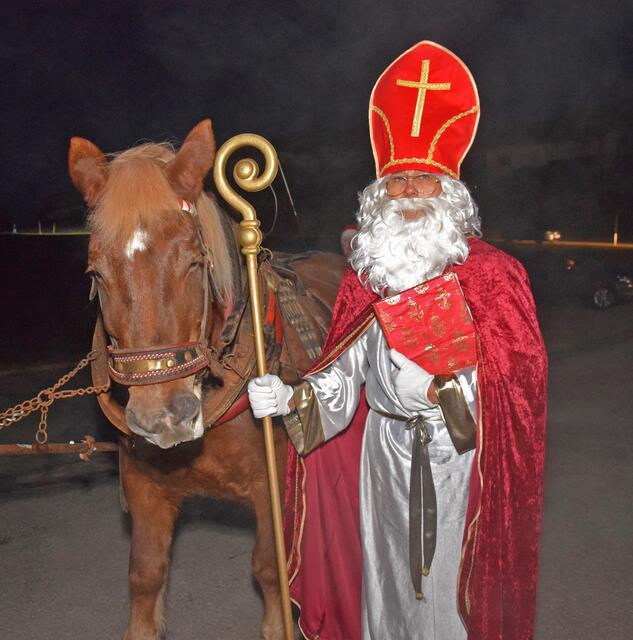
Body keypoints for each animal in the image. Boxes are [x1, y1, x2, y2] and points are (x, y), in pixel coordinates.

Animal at [68, 121, 346, 640]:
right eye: (96, 272)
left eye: (195, 262)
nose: (162, 418)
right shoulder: (146, 491)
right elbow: (145, 576)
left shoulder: (273, 489)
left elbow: (270, 572)